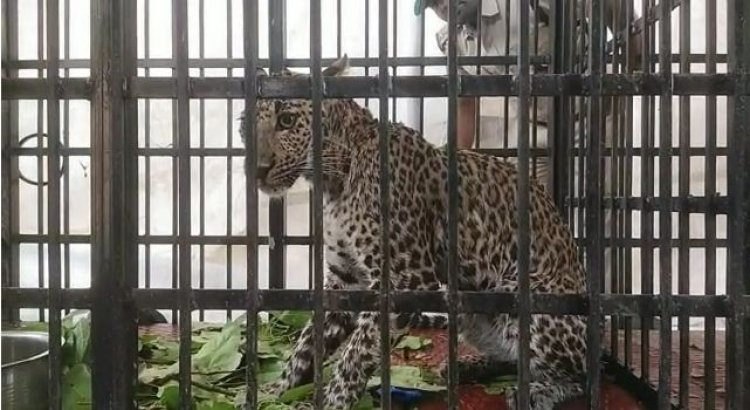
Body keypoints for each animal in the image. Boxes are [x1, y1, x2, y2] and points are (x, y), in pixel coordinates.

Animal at [240, 55, 592, 410]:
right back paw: (467, 366)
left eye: (286, 121)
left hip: (519, 299)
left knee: (580, 375)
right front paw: (276, 391)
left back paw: (533, 391)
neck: (334, 181)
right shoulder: (345, 278)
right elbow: (309, 342)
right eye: (243, 126)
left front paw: (335, 400)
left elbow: (358, 351)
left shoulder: (406, 280)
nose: (257, 169)